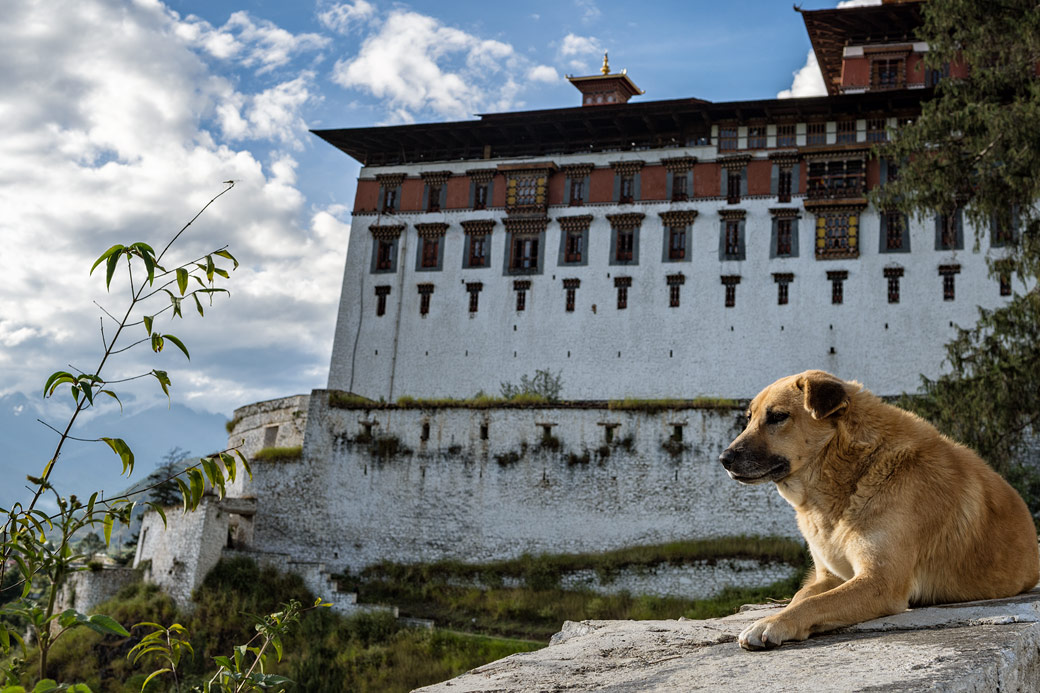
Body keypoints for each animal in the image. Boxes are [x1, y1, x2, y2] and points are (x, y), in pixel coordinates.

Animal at [723, 372, 1040, 649]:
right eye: (748, 419)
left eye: (778, 417)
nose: (724, 458)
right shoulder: (830, 577)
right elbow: (802, 596)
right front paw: (777, 614)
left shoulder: (880, 581)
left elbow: (814, 603)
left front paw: (772, 623)